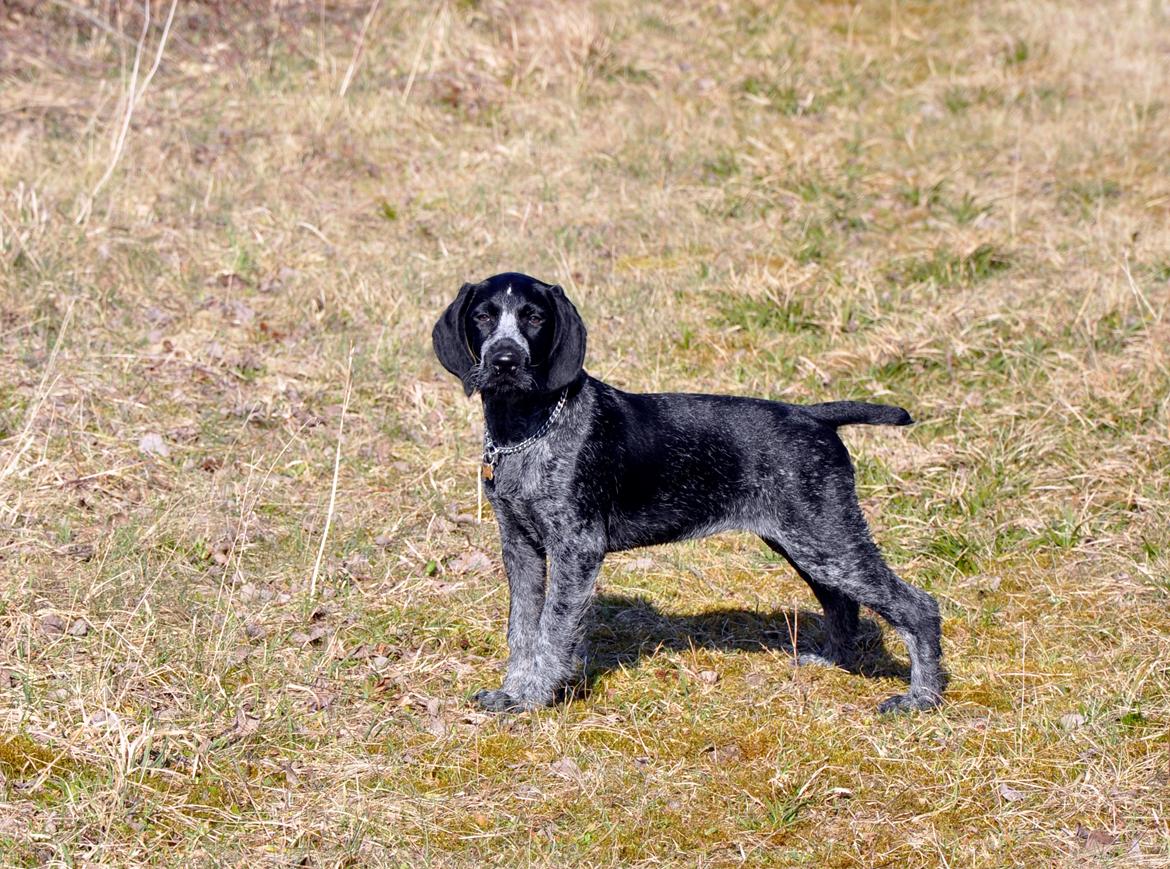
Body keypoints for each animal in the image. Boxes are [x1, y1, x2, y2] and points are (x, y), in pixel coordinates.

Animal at [435, 271, 945, 715]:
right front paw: (513, 689)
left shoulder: (576, 547)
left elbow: (552, 629)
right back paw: (831, 662)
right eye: (484, 316)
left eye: (535, 317)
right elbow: (522, 629)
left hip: (827, 541)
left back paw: (922, 698)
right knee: (843, 603)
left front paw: (532, 697)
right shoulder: (519, 545)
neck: (525, 426)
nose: (504, 361)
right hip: (808, 542)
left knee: (918, 607)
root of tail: (815, 416)